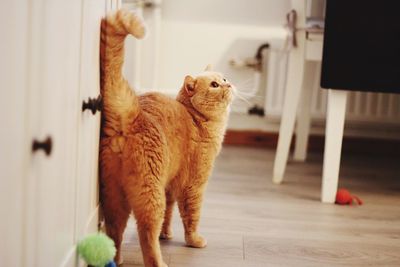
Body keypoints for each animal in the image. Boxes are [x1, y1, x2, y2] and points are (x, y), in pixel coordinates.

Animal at [99, 9, 234, 266]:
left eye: (224, 78)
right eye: (215, 84)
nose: (229, 84)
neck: (197, 120)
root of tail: (133, 114)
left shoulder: (170, 186)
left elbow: (170, 215)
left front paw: (167, 233)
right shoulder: (194, 186)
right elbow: (191, 216)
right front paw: (194, 240)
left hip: (114, 199)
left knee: (115, 232)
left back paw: (117, 259)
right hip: (151, 196)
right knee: (146, 234)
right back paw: (159, 262)